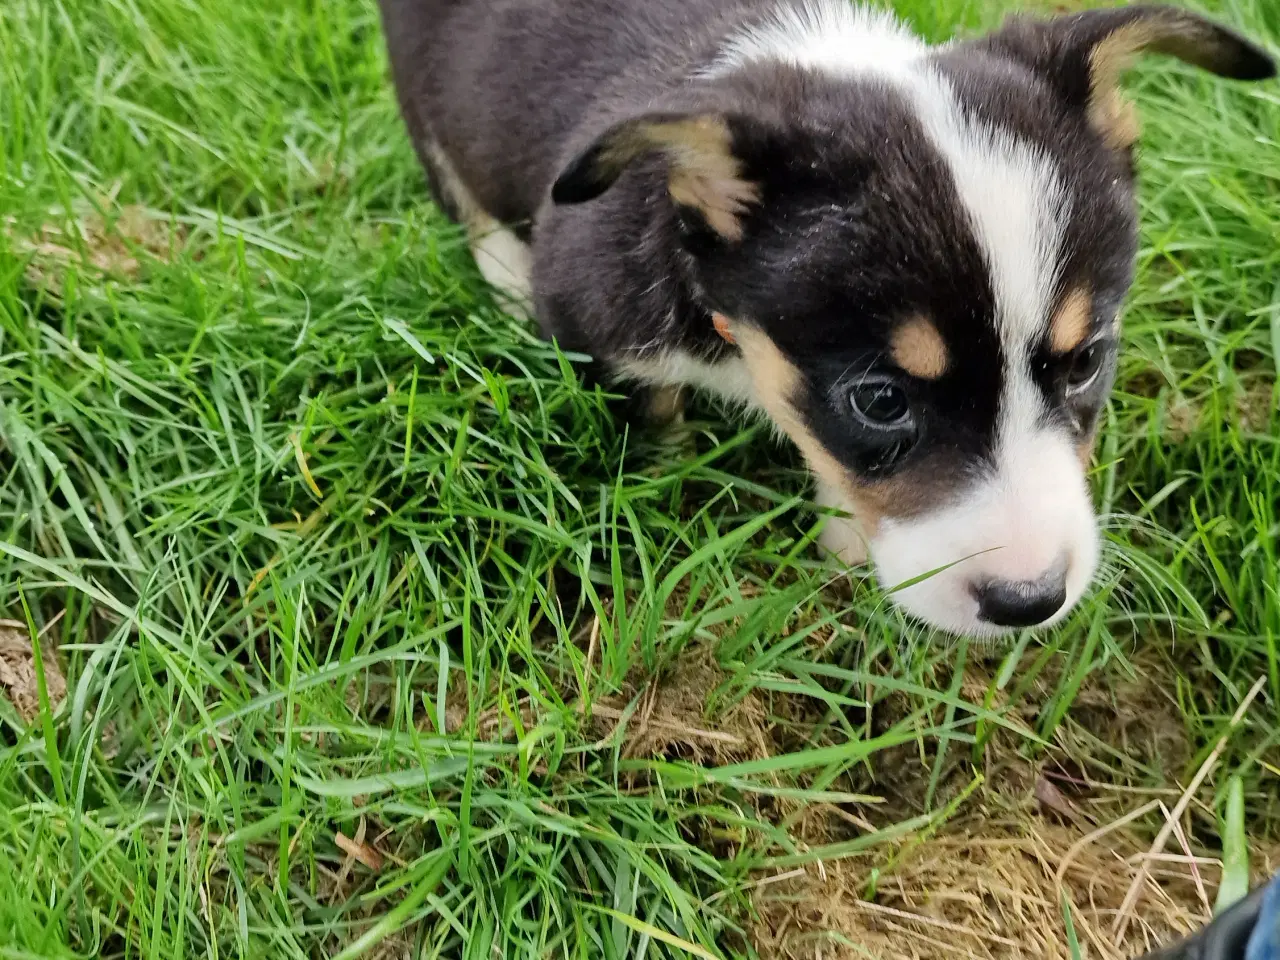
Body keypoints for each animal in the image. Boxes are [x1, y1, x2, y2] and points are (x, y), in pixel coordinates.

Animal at [373, 0, 1274, 640]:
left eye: (1085, 361)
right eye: (879, 400)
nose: (1031, 601)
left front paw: (843, 547)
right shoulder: (596, 325)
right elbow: (657, 428)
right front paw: (668, 498)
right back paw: (502, 275)